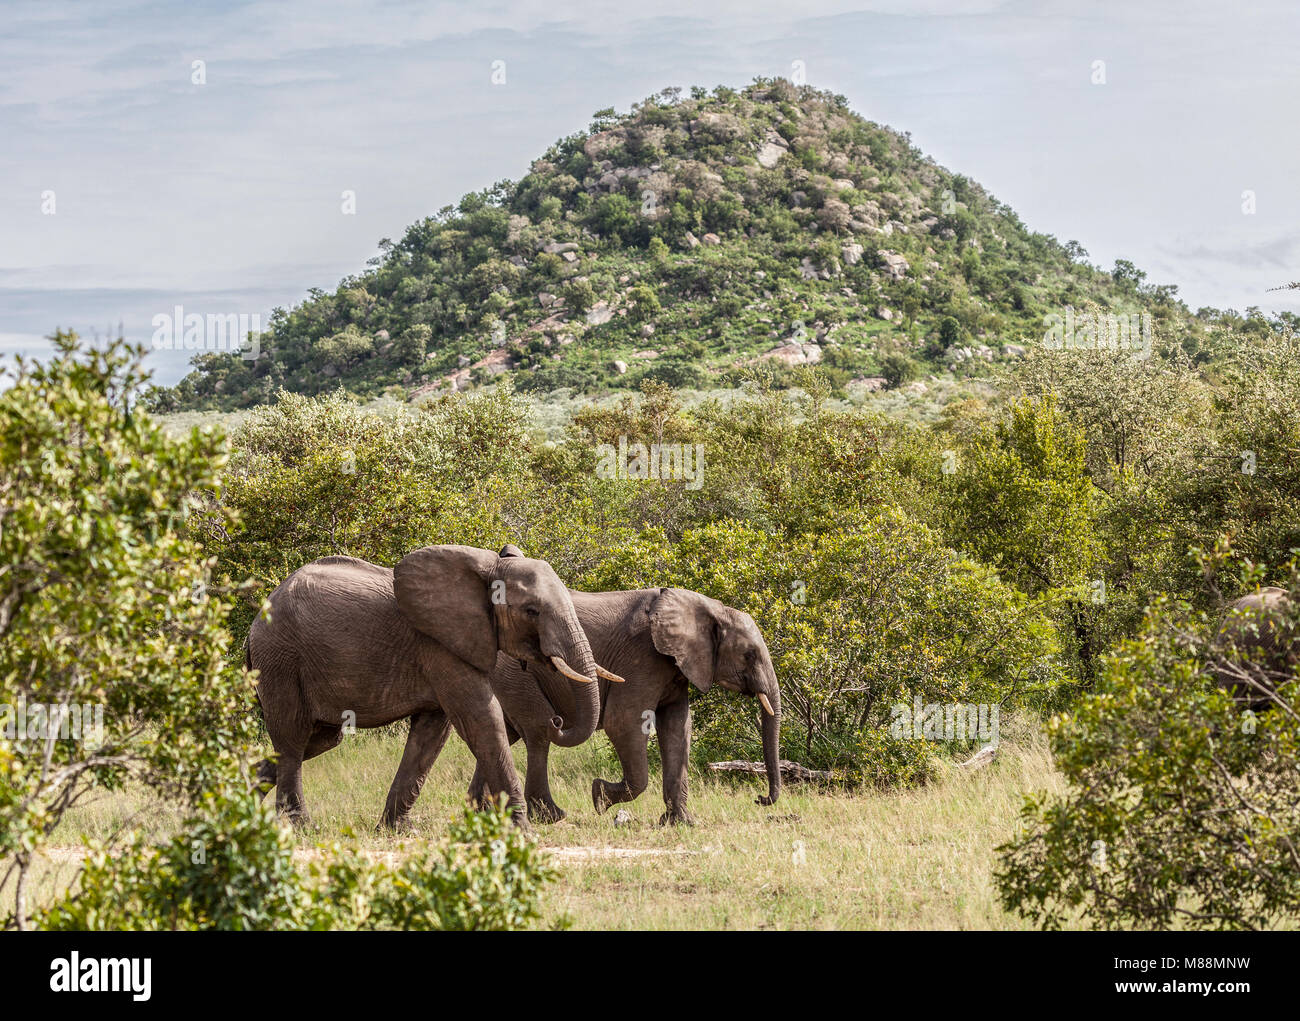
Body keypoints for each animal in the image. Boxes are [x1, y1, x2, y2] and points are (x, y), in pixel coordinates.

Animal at [250, 541, 621, 827]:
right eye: (532, 611)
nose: (557, 720)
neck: (489, 567)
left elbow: (432, 734)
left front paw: (397, 829)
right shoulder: (440, 644)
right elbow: (480, 718)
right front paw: (522, 829)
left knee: (316, 740)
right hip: (280, 662)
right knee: (293, 738)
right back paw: (300, 825)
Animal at [460, 585, 780, 822]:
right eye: (750, 655)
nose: (760, 799)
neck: (708, 607)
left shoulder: (676, 667)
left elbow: (678, 728)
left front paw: (681, 823)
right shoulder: (642, 658)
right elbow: (623, 722)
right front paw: (599, 797)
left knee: (501, 733)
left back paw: (481, 813)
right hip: (515, 673)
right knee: (538, 733)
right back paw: (550, 816)